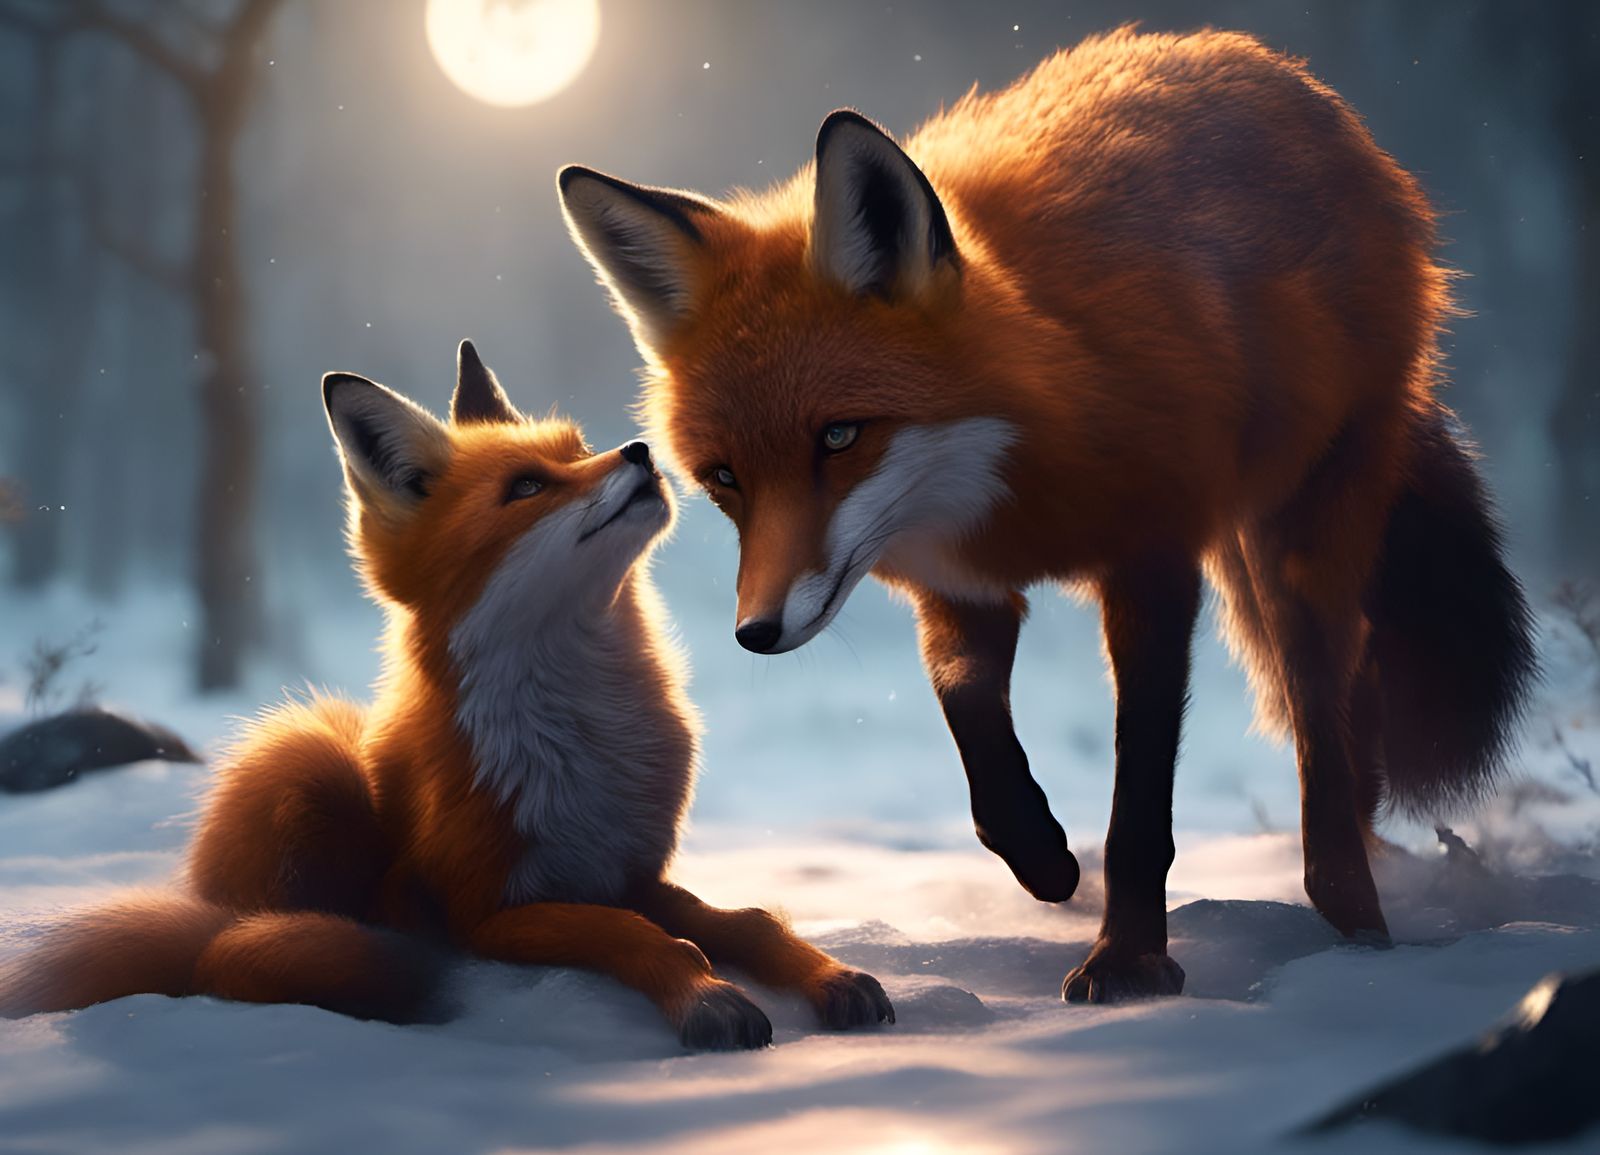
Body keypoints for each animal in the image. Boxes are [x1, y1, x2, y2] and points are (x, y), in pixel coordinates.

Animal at [0, 340, 892, 1047]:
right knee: (239, 956)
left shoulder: (627, 869)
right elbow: (644, 937)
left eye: (579, 448)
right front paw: (706, 998)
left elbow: (748, 923)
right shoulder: (491, 911)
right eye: (528, 487)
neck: (584, 739)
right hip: (310, 754)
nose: (639, 449)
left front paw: (829, 975)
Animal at [556, 26, 1538, 1002]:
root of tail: (1260, 63)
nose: (756, 632)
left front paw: (1129, 959)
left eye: (838, 435)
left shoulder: (1153, 558)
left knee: (1325, 701)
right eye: (724, 477)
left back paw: (1354, 911)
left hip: (1300, 539)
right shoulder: (958, 588)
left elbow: (1139, 794)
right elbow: (977, 746)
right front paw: (1042, 860)